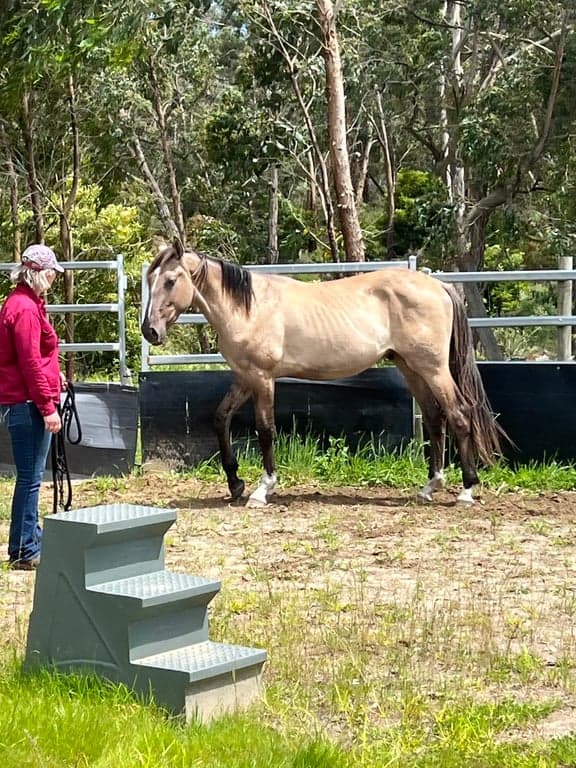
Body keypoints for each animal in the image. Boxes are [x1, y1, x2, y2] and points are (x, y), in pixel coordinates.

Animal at [141, 239, 505, 508]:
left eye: (171, 281)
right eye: (149, 280)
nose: (150, 331)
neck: (250, 307)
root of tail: (439, 286)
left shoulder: (262, 378)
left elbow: (265, 430)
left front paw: (262, 489)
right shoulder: (244, 377)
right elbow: (220, 418)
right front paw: (235, 483)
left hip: (434, 369)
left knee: (459, 415)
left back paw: (466, 490)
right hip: (411, 367)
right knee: (434, 418)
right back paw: (430, 486)